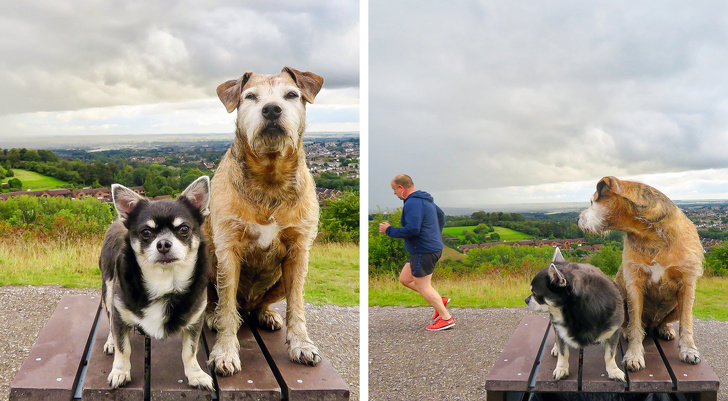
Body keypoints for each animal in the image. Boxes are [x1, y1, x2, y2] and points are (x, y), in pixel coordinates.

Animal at [202, 66, 322, 376]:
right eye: (250, 97)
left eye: (291, 95)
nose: (271, 109)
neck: (270, 177)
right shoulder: (228, 251)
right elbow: (226, 304)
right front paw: (225, 351)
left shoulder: (298, 252)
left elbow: (297, 305)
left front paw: (302, 344)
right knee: (220, 304)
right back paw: (212, 316)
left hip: (278, 279)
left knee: (261, 304)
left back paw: (266, 314)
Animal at [576, 177, 704, 370]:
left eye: (592, 202)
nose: (578, 218)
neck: (650, 234)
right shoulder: (634, 285)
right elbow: (635, 323)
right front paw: (634, 355)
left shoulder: (687, 285)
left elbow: (686, 322)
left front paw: (689, 350)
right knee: (631, 324)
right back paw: (627, 332)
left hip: (674, 307)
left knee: (663, 321)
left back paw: (664, 329)